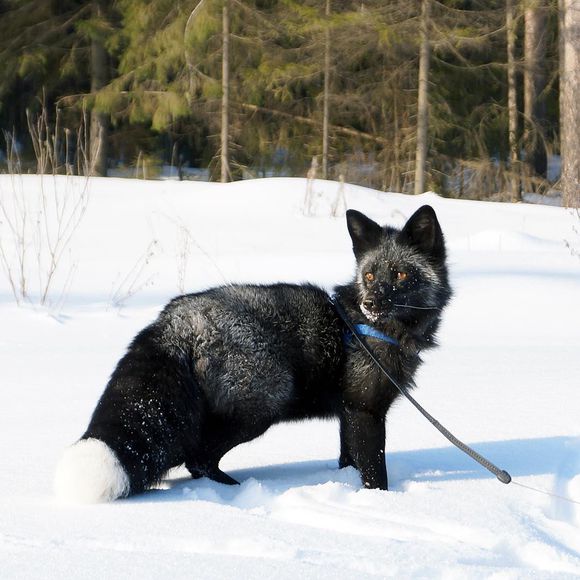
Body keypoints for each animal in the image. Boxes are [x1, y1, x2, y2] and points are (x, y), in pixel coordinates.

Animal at [54, 205, 450, 502]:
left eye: (400, 275)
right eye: (369, 276)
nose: (370, 304)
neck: (369, 329)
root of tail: (174, 319)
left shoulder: (347, 413)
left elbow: (348, 461)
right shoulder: (365, 411)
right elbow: (374, 471)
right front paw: (381, 504)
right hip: (262, 406)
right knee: (197, 457)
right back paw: (232, 491)